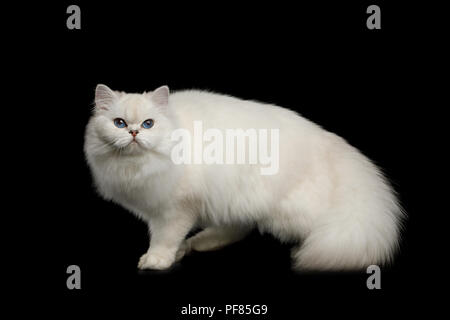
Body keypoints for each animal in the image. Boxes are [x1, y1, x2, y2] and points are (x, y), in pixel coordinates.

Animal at [84, 84, 404, 270]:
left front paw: (157, 260)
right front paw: (174, 254)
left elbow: (165, 238)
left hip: (291, 211)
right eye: (119, 123)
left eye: (148, 124)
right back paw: (199, 244)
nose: (133, 132)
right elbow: (166, 237)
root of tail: (327, 140)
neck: (137, 168)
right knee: (237, 228)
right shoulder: (157, 208)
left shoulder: (175, 209)